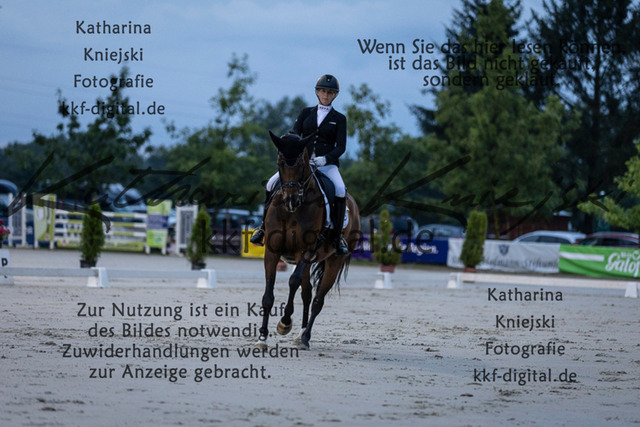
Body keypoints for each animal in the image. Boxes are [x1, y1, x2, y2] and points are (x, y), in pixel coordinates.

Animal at [256, 131, 361, 350]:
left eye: (301, 165)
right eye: (280, 162)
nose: (290, 200)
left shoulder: (305, 250)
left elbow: (293, 281)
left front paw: (284, 323)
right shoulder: (272, 251)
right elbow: (268, 294)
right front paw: (262, 337)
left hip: (333, 260)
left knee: (317, 300)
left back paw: (305, 338)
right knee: (307, 294)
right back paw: (300, 334)